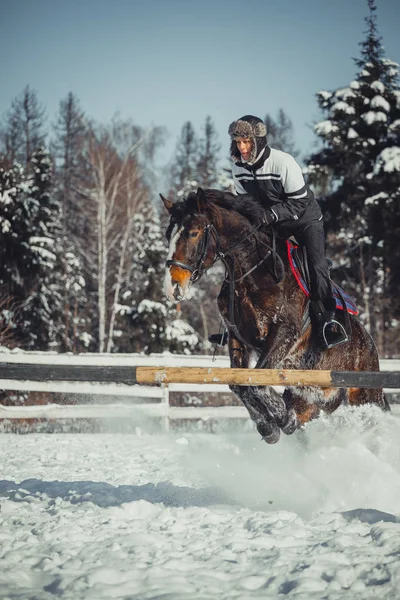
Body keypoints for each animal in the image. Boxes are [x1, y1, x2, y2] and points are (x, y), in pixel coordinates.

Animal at [161, 188, 386, 446]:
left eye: (194, 233)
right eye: (168, 235)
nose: (172, 287)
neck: (253, 271)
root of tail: (369, 343)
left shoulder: (284, 333)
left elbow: (256, 382)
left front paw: (282, 421)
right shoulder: (238, 338)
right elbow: (239, 384)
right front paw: (270, 426)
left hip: (365, 396)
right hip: (310, 398)